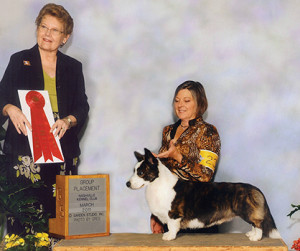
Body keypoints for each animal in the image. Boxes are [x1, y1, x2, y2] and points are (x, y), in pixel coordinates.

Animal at [126, 149, 282, 241]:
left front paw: (169, 237)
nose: (127, 184)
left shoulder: (173, 214)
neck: (156, 184)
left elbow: (172, 226)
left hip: (247, 211)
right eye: (134, 171)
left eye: (140, 172)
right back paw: (251, 234)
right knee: (255, 224)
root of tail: (256, 189)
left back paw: (255, 238)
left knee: (258, 224)